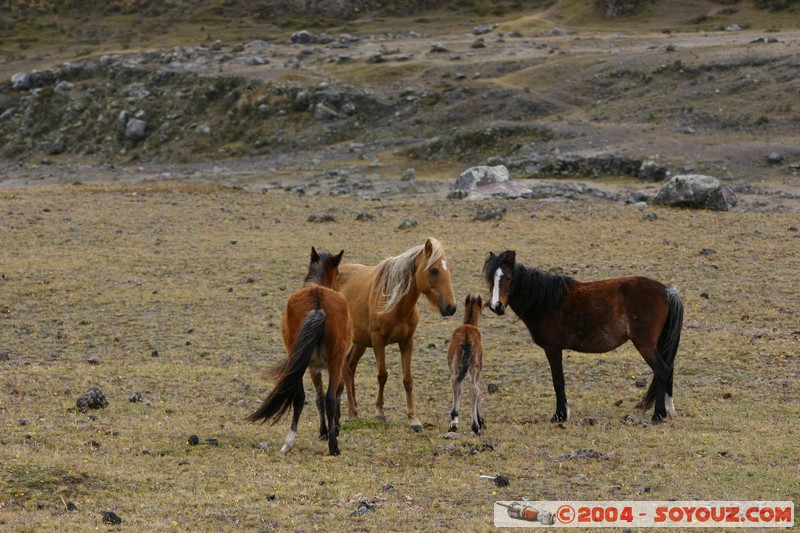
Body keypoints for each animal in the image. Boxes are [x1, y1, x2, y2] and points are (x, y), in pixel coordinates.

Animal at [247, 247, 354, 456]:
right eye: (338, 272)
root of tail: (318, 302)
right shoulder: (323, 367)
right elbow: (330, 395)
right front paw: (329, 430)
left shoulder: (314, 367)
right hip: (333, 361)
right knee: (328, 398)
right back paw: (332, 445)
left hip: (299, 360)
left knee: (300, 398)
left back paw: (289, 443)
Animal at [338, 239, 456, 430]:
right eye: (433, 270)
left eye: (449, 270)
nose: (451, 307)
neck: (396, 305)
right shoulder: (378, 342)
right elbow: (382, 375)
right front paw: (380, 412)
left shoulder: (407, 342)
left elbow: (408, 380)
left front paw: (413, 419)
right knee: (346, 370)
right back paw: (351, 411)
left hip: (360, 343)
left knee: (350, 366)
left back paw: (353, 407)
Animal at [446, 294, 484, 434]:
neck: (469, 324)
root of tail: (467, 338)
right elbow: (478, 389)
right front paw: (481, 420)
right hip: (474, 365)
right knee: (474, 388)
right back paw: (475, 426)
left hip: (456, 364)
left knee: (455, 383)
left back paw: (453, 421)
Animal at [484, 250, 684, 424]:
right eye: (490, 279)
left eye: (508, 277)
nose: (496, 306)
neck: (546, 302)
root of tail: (667, 291)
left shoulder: (552, 349)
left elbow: (558, 381)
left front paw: (560, 415)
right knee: (669, 370)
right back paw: (668, 410)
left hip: (645, 344)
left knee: (662, 371)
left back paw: (658, 415)